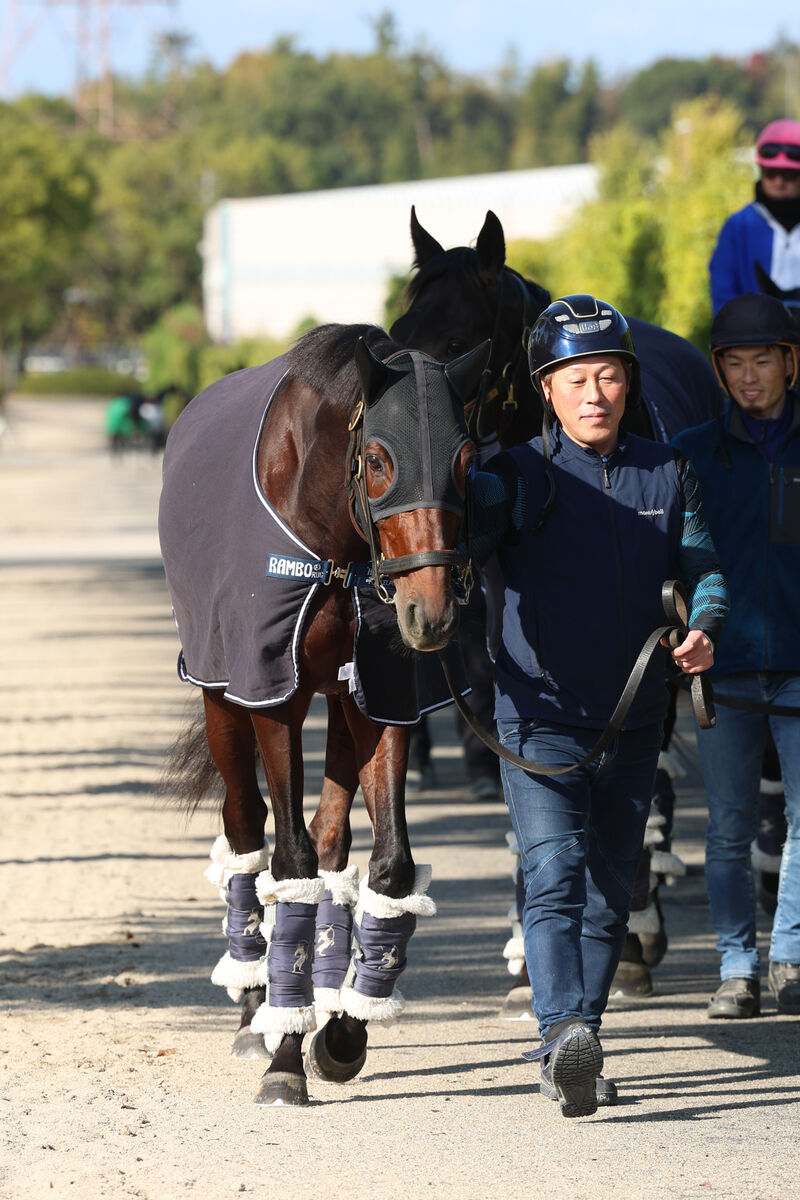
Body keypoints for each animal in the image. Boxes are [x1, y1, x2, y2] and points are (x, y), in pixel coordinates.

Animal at [158, 321, 489, 1104]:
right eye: (377, 459)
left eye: (466, 460)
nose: (431, 614)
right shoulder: (272, 691)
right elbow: (291, 858)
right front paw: (284, 1048)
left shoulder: (382, 692)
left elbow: (389, 866)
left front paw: (343, 1029)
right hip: (221, 695)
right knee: (246, 826)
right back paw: (256, 1003)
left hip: (342, 699)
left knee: (335, 839)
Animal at [391, 208, 724, 1012]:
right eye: (398, 332)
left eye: (459, 343)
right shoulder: (495, 676)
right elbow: (530, 801)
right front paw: (524, 947)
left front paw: (628, 938)